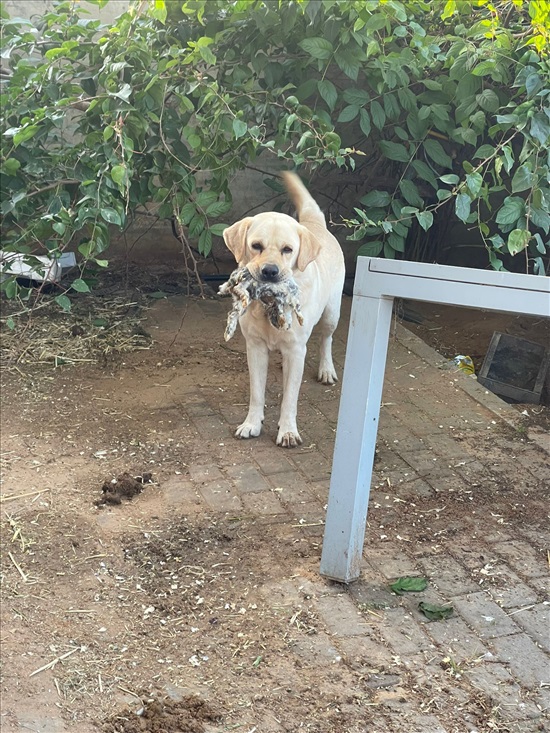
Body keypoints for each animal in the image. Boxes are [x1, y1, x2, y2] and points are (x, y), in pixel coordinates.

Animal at [223, 172, 344, 446]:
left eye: (287, 249)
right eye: (256, 245)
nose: (270, 271)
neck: (269, 306)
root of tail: (313, 224)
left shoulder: (296, 350)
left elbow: (290, 397)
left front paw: (288, 431)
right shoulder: (255, 347)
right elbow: (257, 393)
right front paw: (251, 424)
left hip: (332, 314)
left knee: (326, 339)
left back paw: (326, 369)